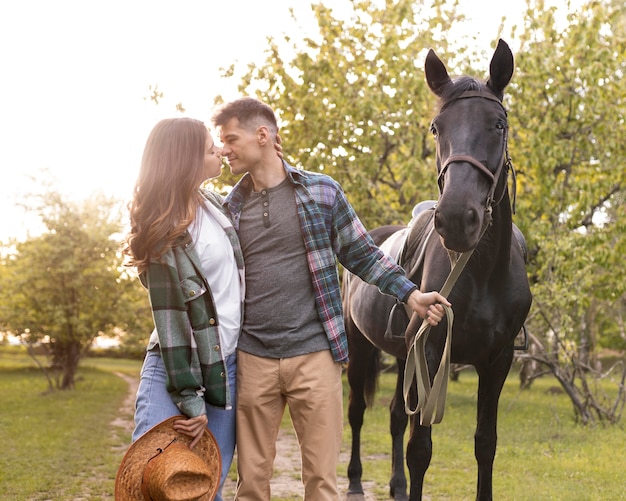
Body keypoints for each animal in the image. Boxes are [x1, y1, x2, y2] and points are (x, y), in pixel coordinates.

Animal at [342, 40, 532, 500]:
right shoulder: (427, 351)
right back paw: (355, 481)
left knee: (395, 414)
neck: (481, 274)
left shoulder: (497, 361)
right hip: (361, 347)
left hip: (400, 355)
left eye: (498, 124)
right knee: (357, 411)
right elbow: (420, 449)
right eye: (436, 128)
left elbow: (486, 444)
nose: (457, 219)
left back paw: (394, 486)